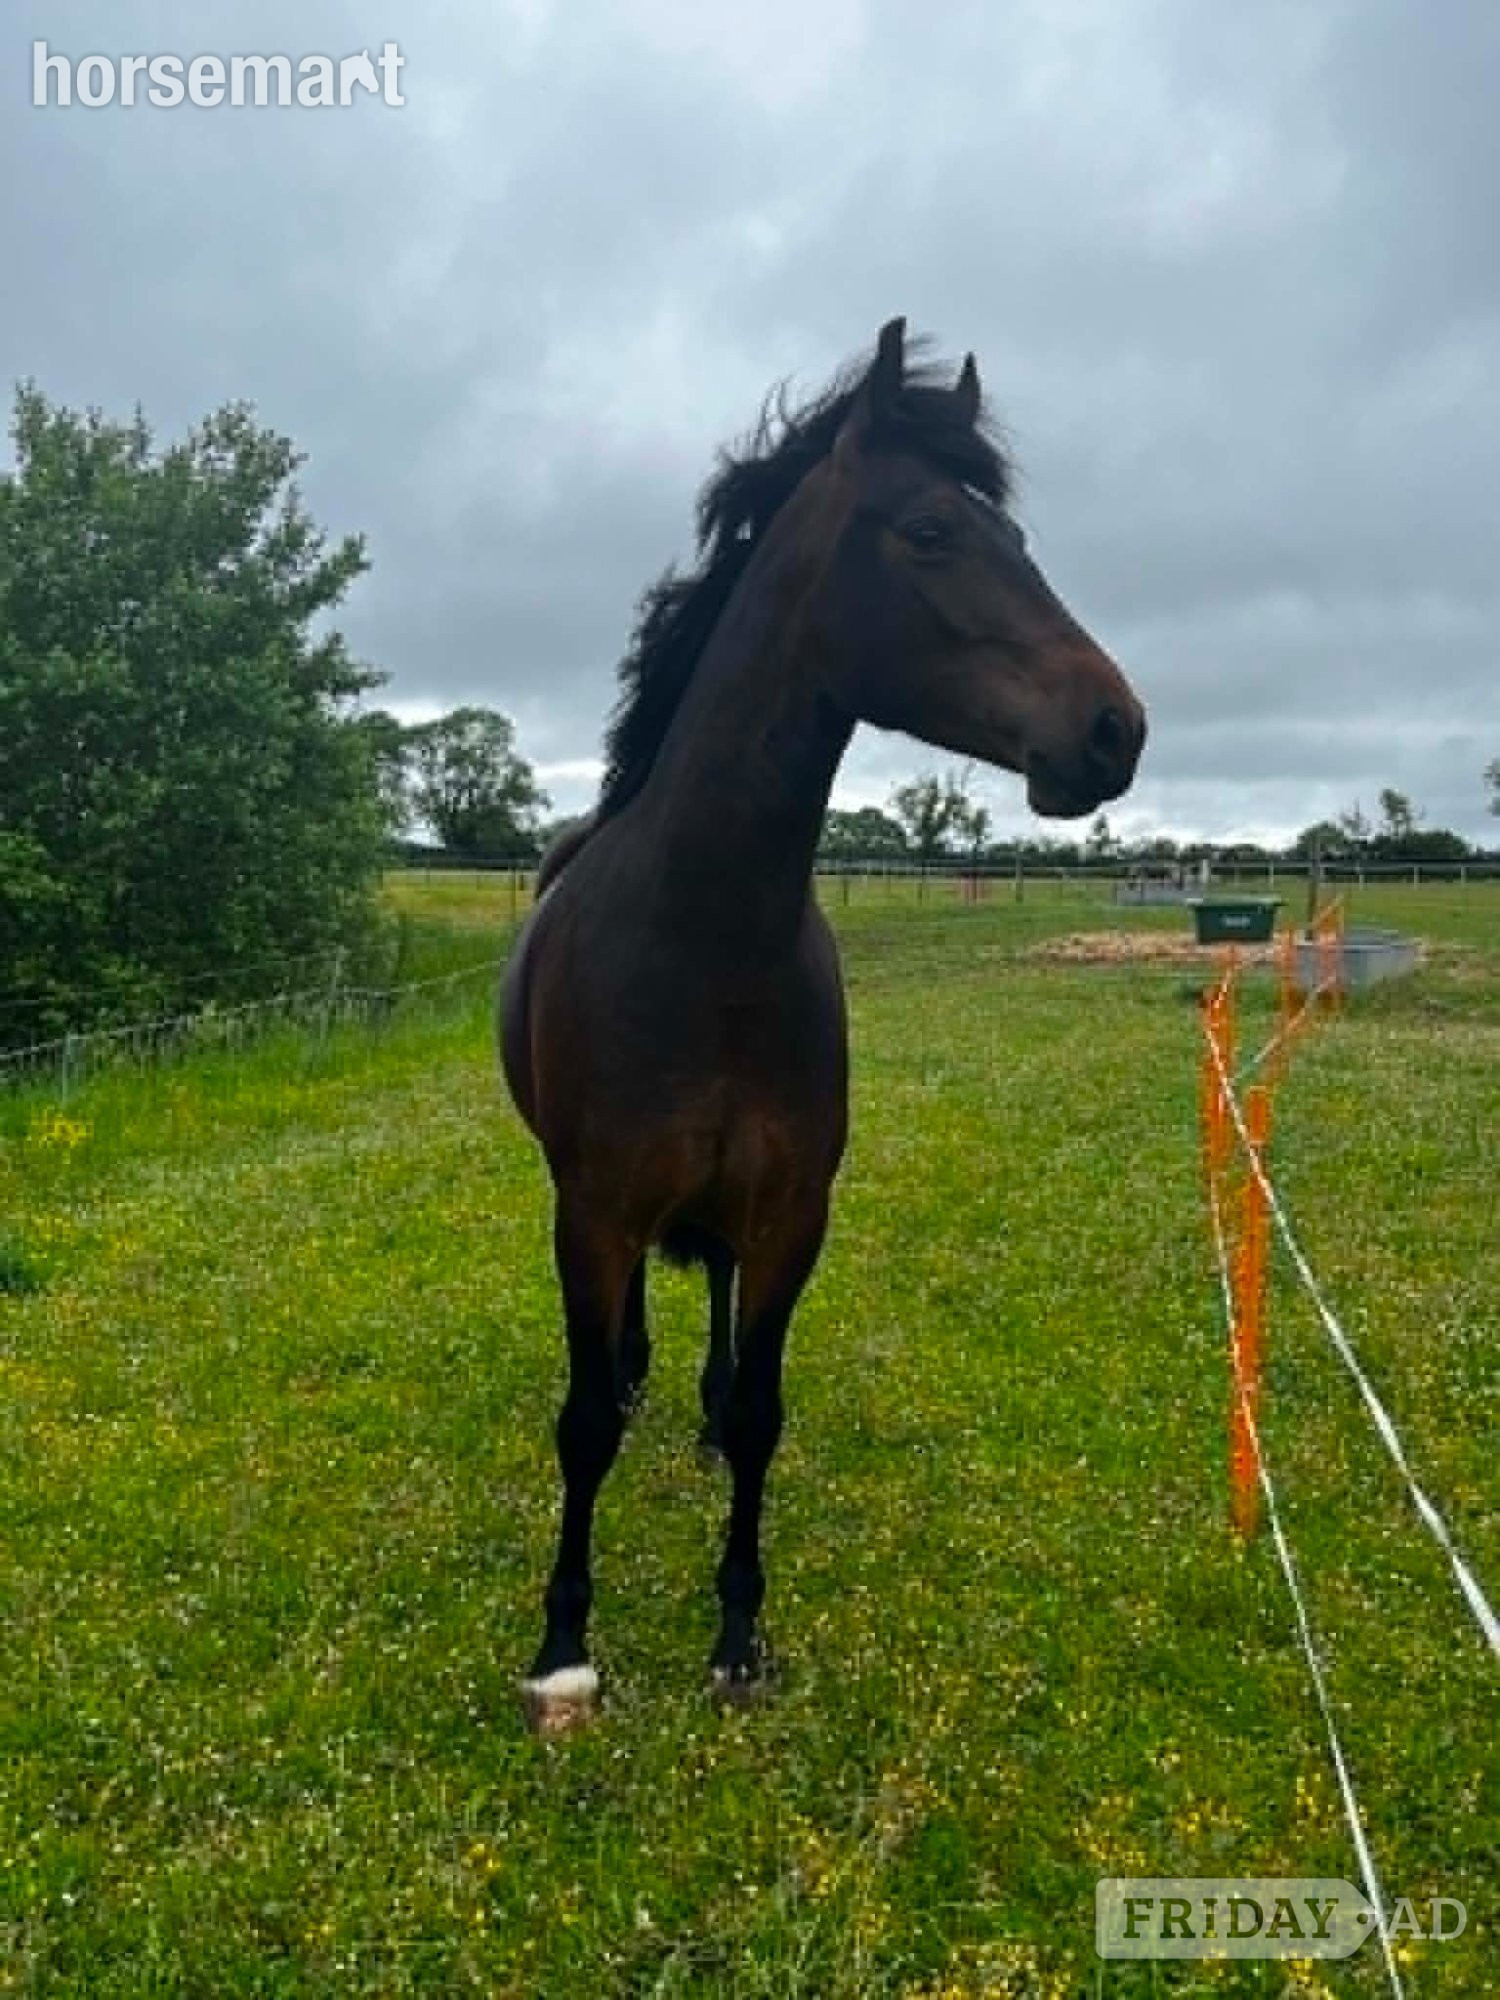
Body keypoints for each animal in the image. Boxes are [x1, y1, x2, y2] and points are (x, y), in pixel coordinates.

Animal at [500, 319, 1145, 1734]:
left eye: (1019, 537)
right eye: (930, 532)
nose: (1114, 728)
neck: (705, 937)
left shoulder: (795, 1209)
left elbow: (760, 1410)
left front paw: (738, 1632)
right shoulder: (593, 1209)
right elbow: (583, 1421)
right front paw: (565, 1646)